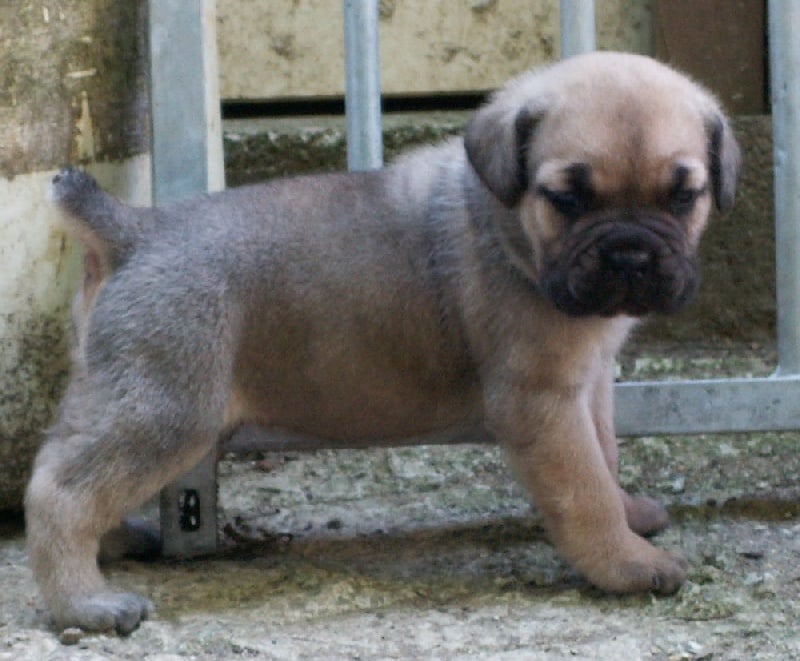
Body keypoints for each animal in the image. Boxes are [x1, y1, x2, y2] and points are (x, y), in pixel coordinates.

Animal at [25, 49, 736, 632]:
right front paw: (628, 563)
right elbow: (584, 492)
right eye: (566, 199)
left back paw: (113, 547)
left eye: (684, 198)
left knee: (67, 468)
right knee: (60, 493)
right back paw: (85, 602)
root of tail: (134, 231)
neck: (508, 227)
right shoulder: (542, 404)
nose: (630, 255)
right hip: (167, 413)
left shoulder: (588, 387)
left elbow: (605, 458)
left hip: (119, 400)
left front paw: (629, 515)